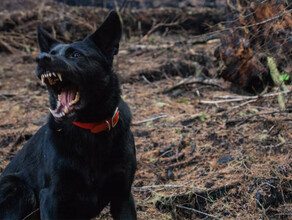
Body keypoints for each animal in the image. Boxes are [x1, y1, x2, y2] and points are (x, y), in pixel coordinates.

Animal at [0, 10, 137, 220]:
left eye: (75, 54)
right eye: (51, 53)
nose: (41, 58)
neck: (89, 128)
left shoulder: (122, 196)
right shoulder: (51, 196)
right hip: (18, 188)